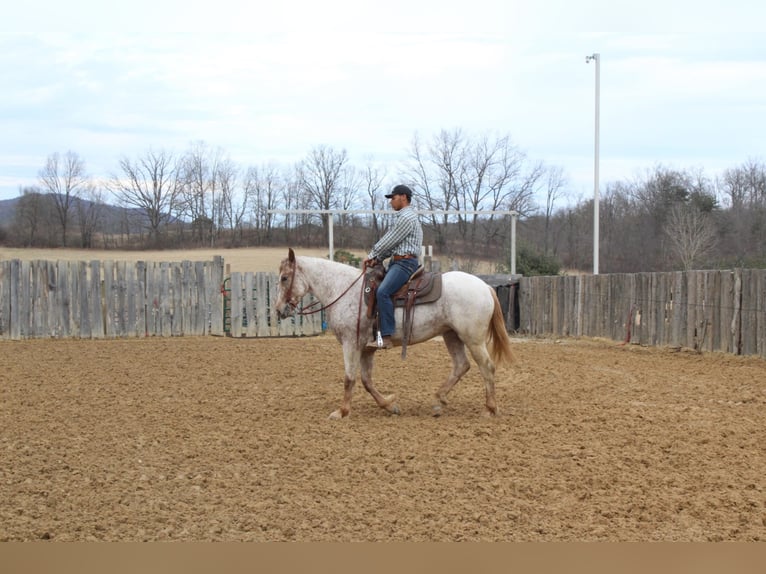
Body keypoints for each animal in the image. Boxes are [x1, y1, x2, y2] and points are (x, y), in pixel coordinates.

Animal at [276, 250, 516, 420]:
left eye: (285, 278)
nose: (279, 310)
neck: (344, 290)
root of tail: (485, 286)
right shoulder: (366, 348)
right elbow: (366, 381)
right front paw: (390, 405)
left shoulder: (350, 343)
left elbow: (349, 378)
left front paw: (341, 412)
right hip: (452, 335)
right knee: (461, 365)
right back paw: (439, 400)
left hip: (473, 339)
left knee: (486, 367)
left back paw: (489, 409)